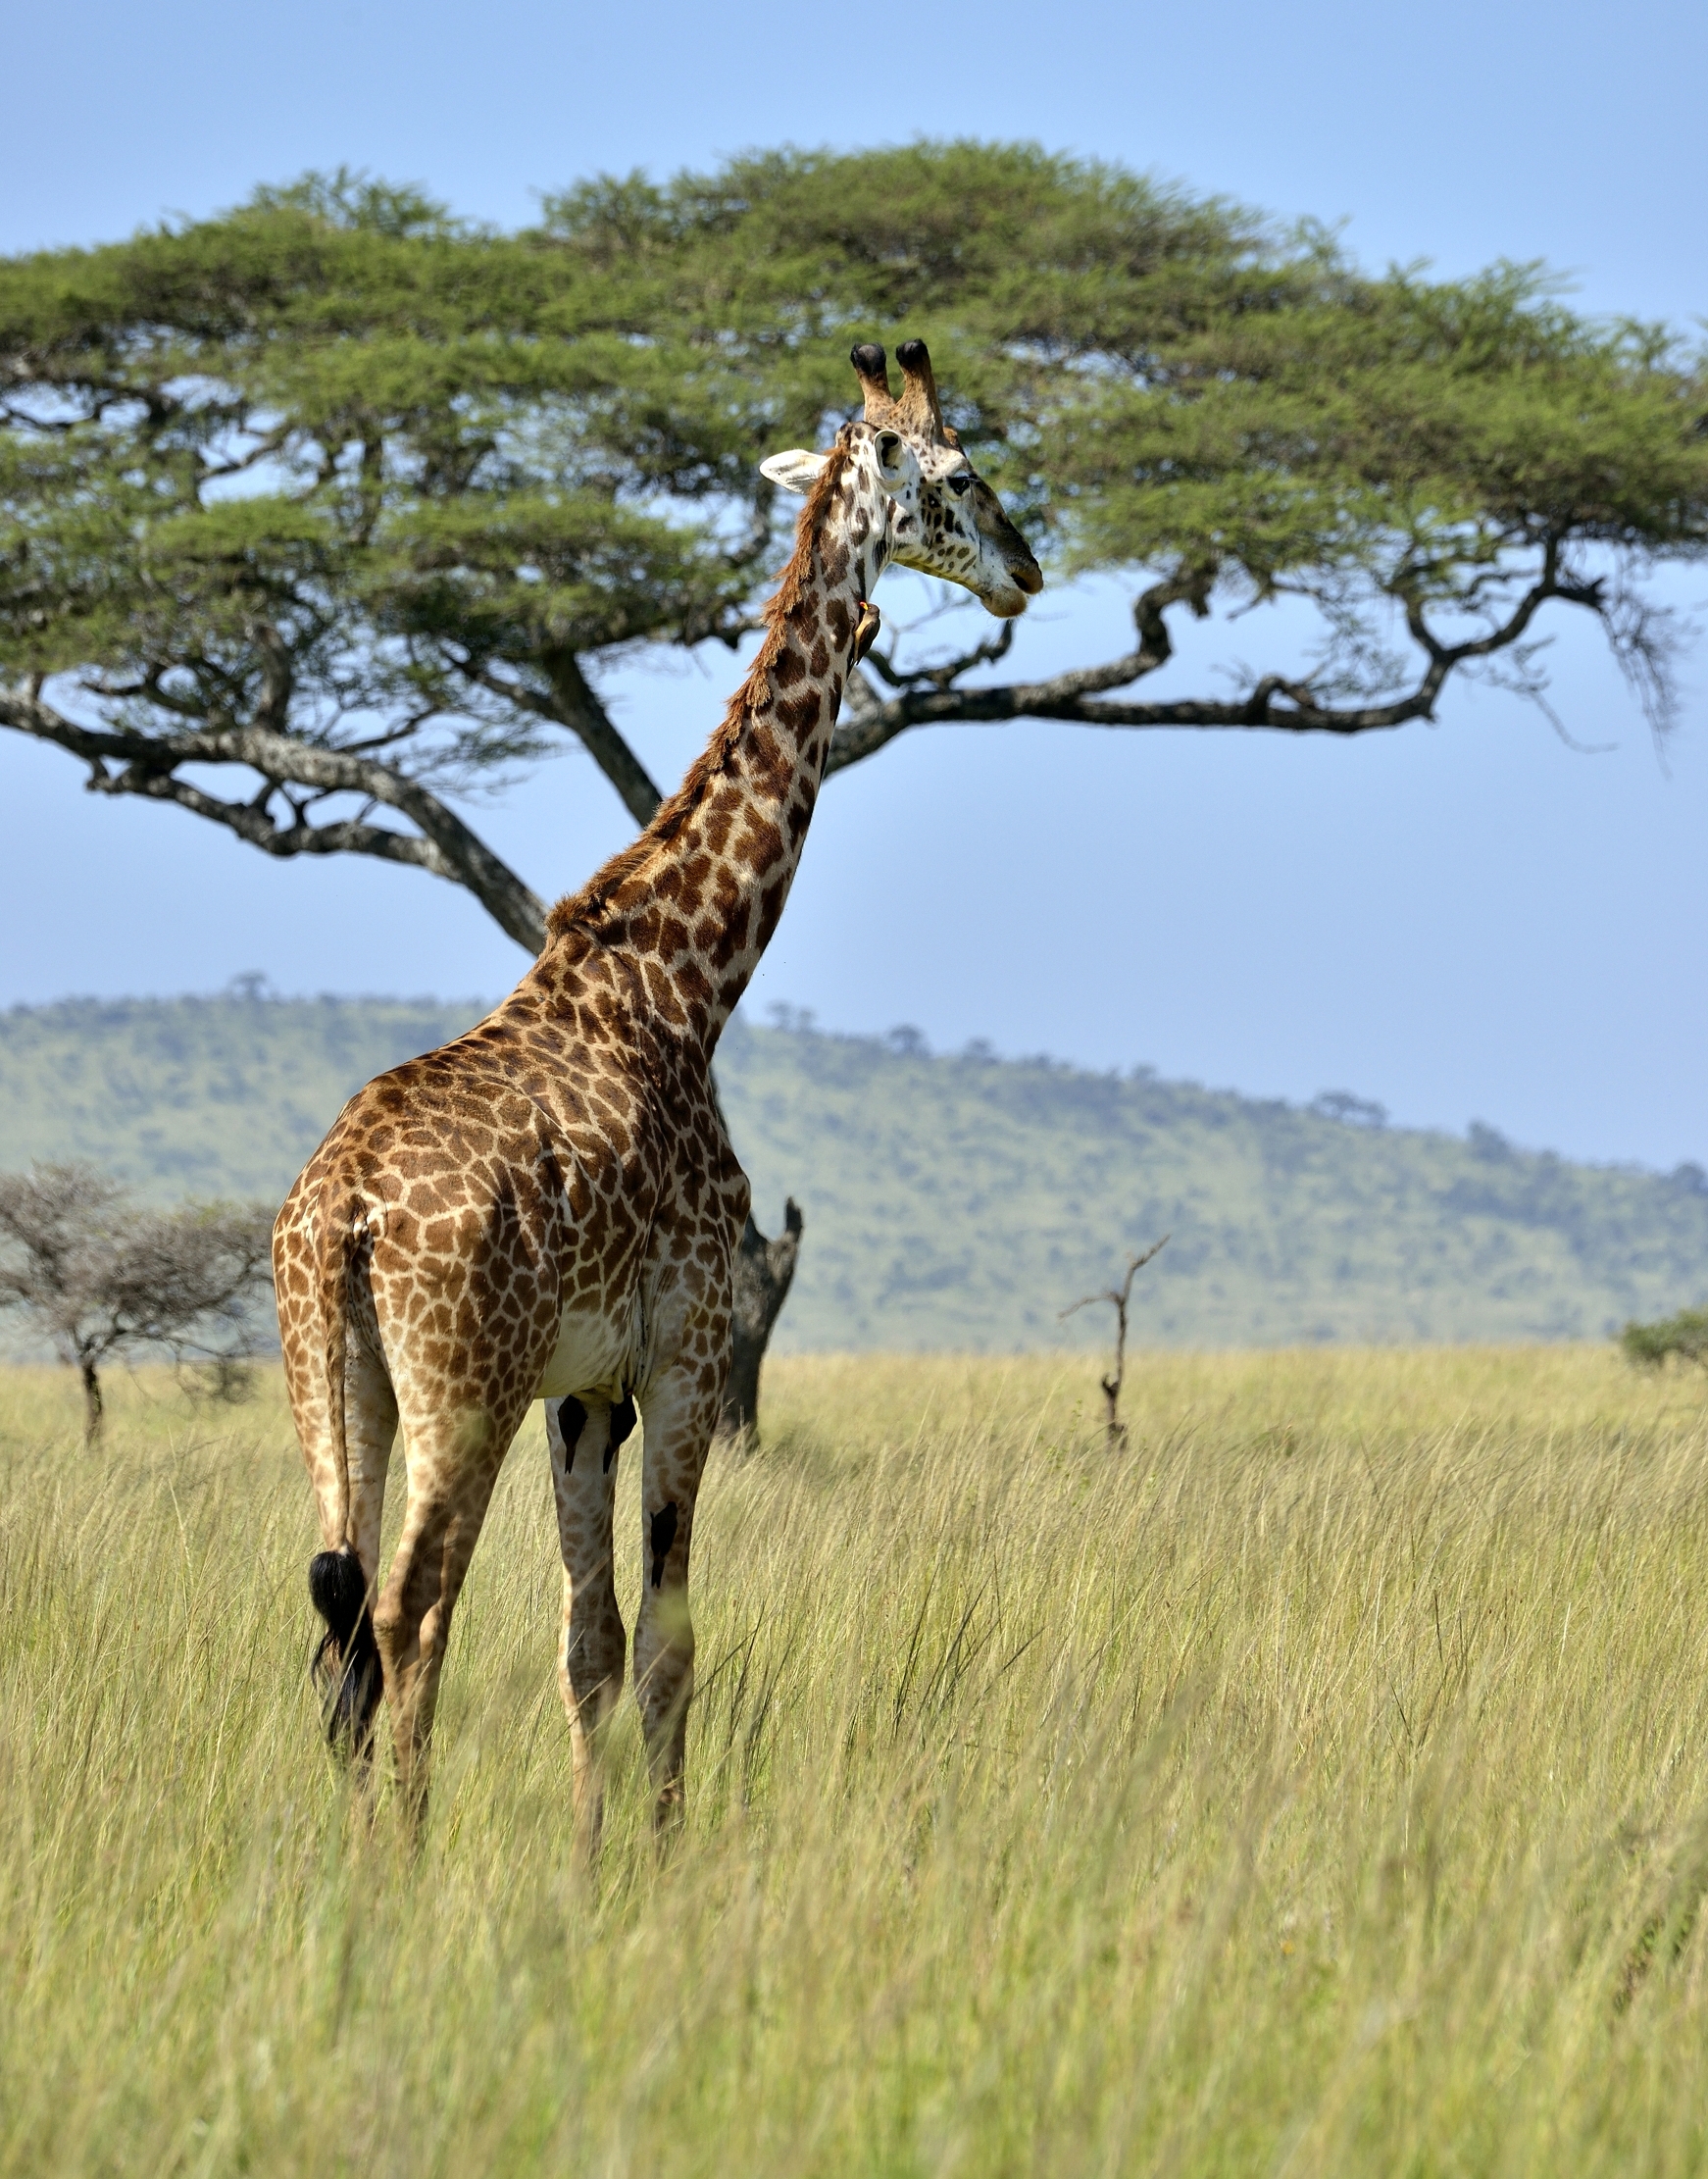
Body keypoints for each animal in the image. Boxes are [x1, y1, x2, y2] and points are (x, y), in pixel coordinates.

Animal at [272, 338, 1042, 1845]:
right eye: (962, 474)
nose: (1027, 569)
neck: (688, 981)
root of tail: (340, 1216)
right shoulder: (683, 1348)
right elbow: (670, 1635)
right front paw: (665, 1849)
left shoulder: (586, 1391)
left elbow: (592, 1640)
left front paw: (590, 1852)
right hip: (461, 1386)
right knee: (406, 1614)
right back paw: (400, 1859)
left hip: (337, 1382)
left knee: (336, 1617)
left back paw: (345, 1856)